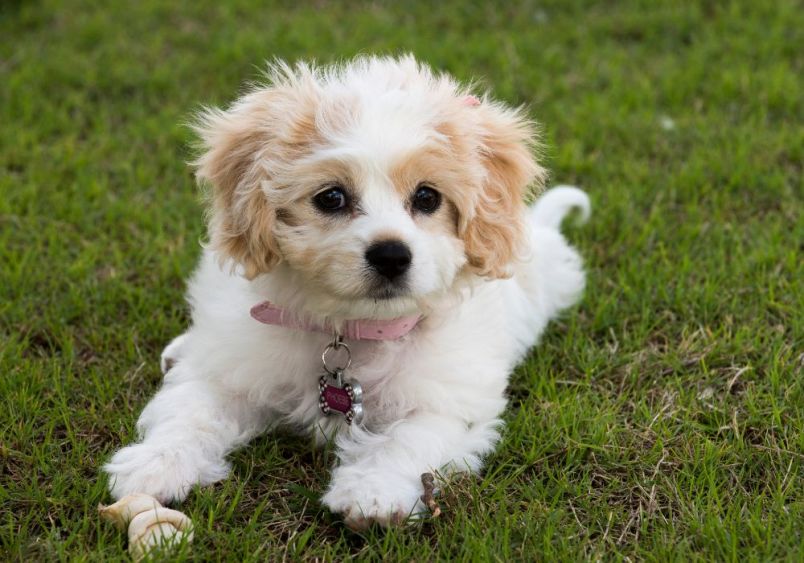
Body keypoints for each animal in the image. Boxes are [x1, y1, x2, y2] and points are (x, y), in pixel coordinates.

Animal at [103, 55, 588, 532]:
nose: (391, 255)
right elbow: (191, 409)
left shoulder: (449, 402)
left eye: (427, 197)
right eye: (332, 197)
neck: (354, 328)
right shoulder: (230, 369)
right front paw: (154, 464)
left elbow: (410, 438)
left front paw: (372, 492)